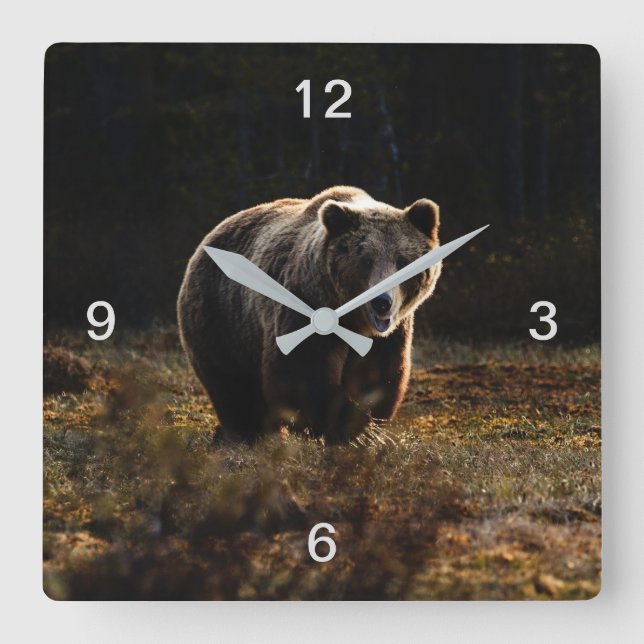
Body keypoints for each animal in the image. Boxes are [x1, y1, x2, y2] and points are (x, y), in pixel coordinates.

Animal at [177, 186, 441, 443]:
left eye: (402, 261)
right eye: (366, 260)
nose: (381, 303)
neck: (353, 320)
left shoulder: (391, 334)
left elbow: (377, 375)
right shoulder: (306, 304)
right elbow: (300, 372)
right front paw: (353, 428)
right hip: (221, 319)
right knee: (233, 385)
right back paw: (248, 433)